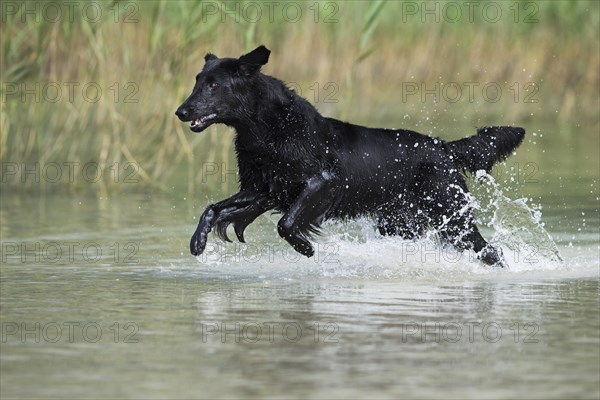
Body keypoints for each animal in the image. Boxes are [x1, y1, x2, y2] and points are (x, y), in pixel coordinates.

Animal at [176, 45, 524, 268]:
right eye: (197, 81)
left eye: (214, 84)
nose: (181, 111)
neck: (266, 127)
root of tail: (444, 147)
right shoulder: (264, 188)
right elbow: (214, 209)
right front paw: (198, 242)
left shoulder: (322, 181)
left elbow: (286, 224)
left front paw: (306, 248)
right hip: (401, 223)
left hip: (451, 218)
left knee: (491, 252)